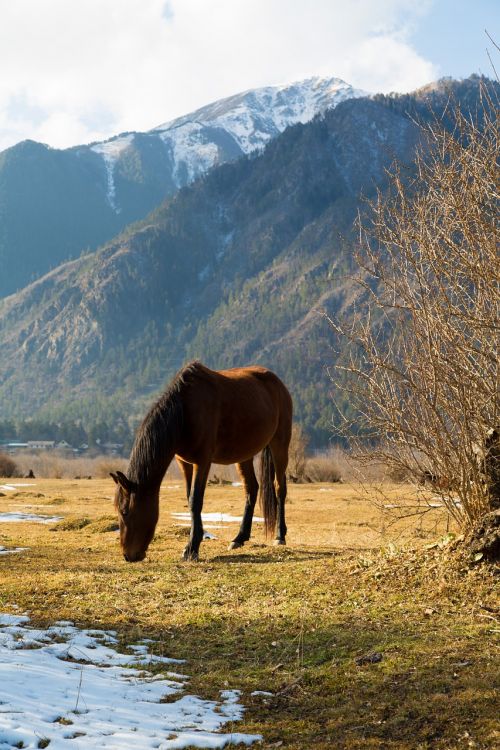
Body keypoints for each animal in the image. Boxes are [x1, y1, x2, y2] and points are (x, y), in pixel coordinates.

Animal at [111, 362, 292, 560]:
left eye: (125, 511)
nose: (128, 555)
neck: (185, 411)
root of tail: (277, 382)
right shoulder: (184, 462)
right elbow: (189, 497)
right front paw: (196, 539)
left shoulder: (203, 461)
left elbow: (195, 500)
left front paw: (192, 547)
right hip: (244, 454)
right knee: (251, 489)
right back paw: (239, 538)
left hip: (279, 444)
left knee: (279, 487)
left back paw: (280, 536)